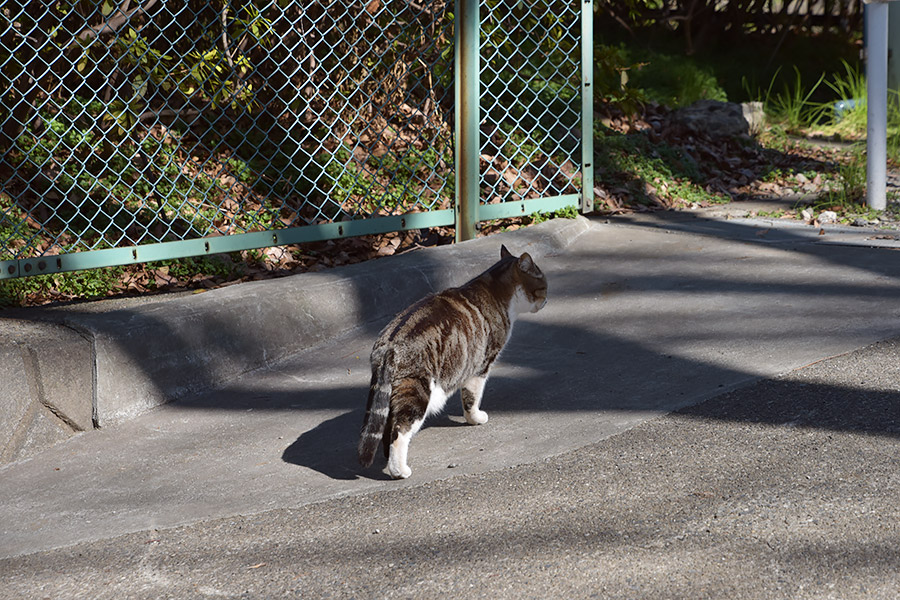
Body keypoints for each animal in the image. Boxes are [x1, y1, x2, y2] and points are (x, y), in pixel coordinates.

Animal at [358, 244, 548, 478]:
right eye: (543, 286)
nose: (546, 300)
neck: (495, 289)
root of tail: (389, 345)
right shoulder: (480, 366)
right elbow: (472, 398)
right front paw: (475, 418)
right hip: (418, 392)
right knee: (399, 431)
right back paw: (399, 470)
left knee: (387, 426)